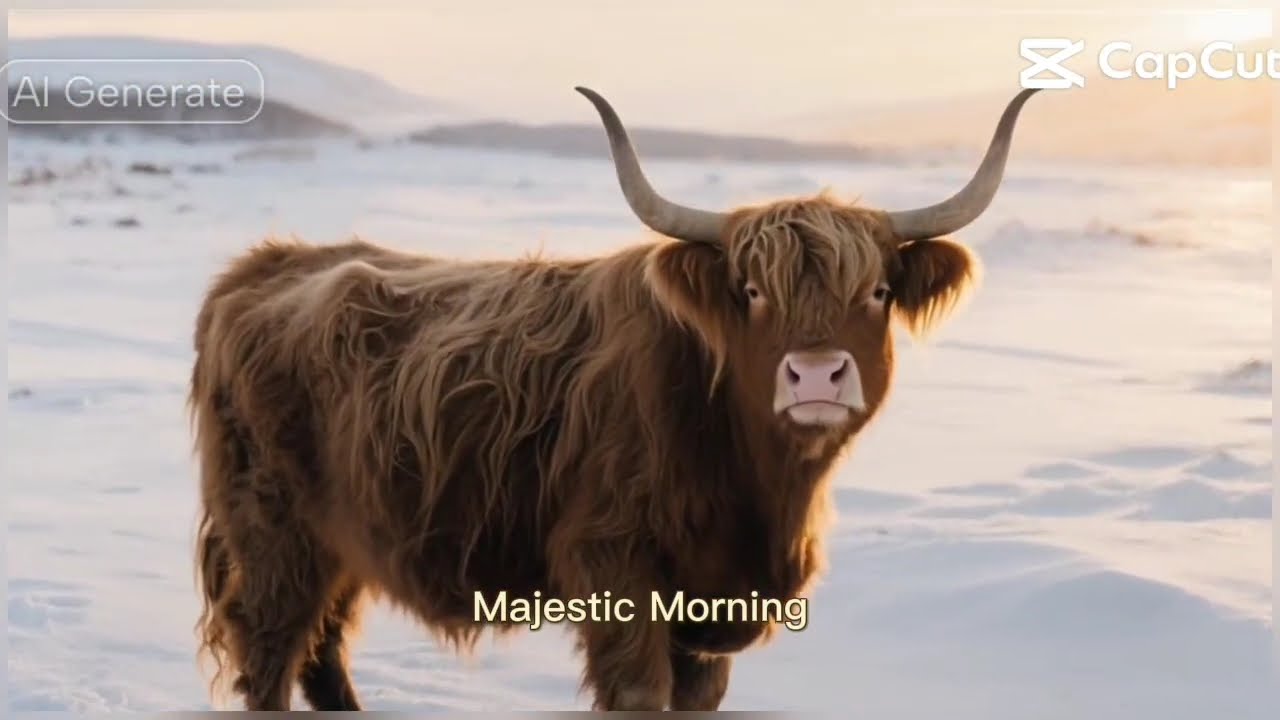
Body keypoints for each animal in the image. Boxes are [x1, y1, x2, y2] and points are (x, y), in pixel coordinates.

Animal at [189, 85, 1040, 711]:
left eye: (877, 292)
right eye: (751, 291)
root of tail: (264, 264)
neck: (758, 491)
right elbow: (637, 693)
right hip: (274, 535)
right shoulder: (615, 568)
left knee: (324, 652)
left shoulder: (710, 613)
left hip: (342, 540)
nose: (817, 375)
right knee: (271, 653)